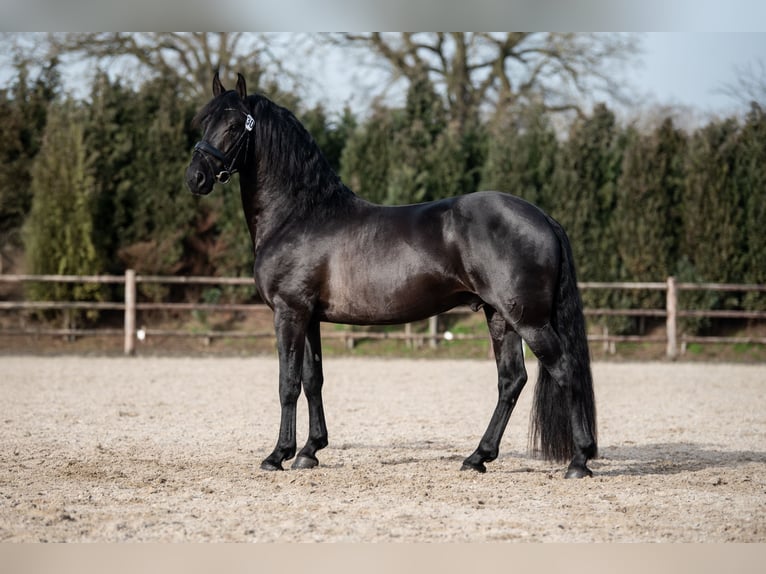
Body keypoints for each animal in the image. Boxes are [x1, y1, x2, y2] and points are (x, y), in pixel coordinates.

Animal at [185, 73, 597, 478]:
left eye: (234, 125)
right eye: (205, 122)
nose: (196, 177)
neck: (300, 215)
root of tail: (543, 217)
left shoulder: (289, 312)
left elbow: (288, 384)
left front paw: (278, 455)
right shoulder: (309, 317)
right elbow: (313, 380)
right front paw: (310, 451)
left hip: (529, 320)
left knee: (564, 369)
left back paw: (579, 460)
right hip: (500, 317)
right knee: (511, 380)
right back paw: (478, 457)